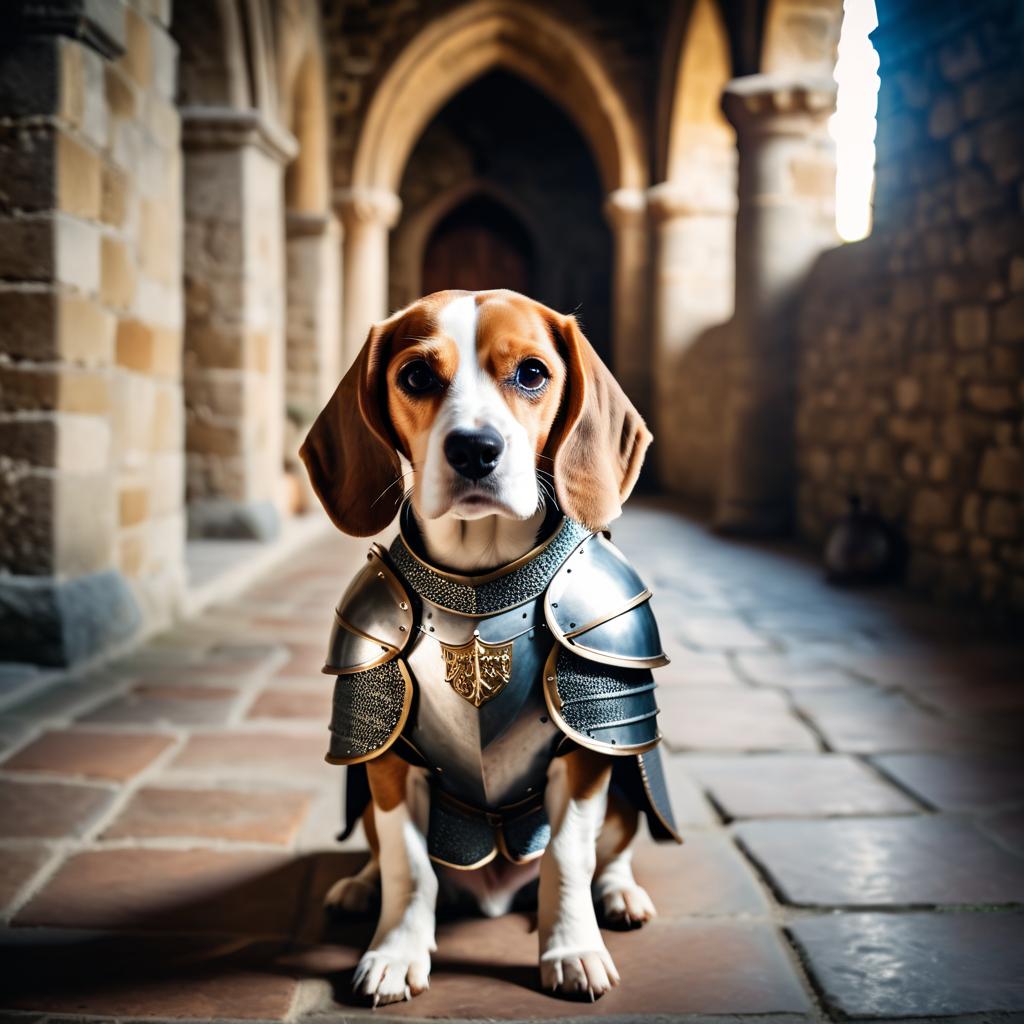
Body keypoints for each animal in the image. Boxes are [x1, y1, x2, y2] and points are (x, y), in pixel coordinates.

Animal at [299, 290, 679, 1007]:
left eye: (532, 373)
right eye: (417, 375)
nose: (475, 449)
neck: (479, 575)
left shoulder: (588, 749)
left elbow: (567, 856)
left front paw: (572, 949)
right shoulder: (385, 757)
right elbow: (408, 865)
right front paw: (395, 952)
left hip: (622, 780)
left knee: (612, 850)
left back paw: (619, 897)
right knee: (380, 854)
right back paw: (359, 888)